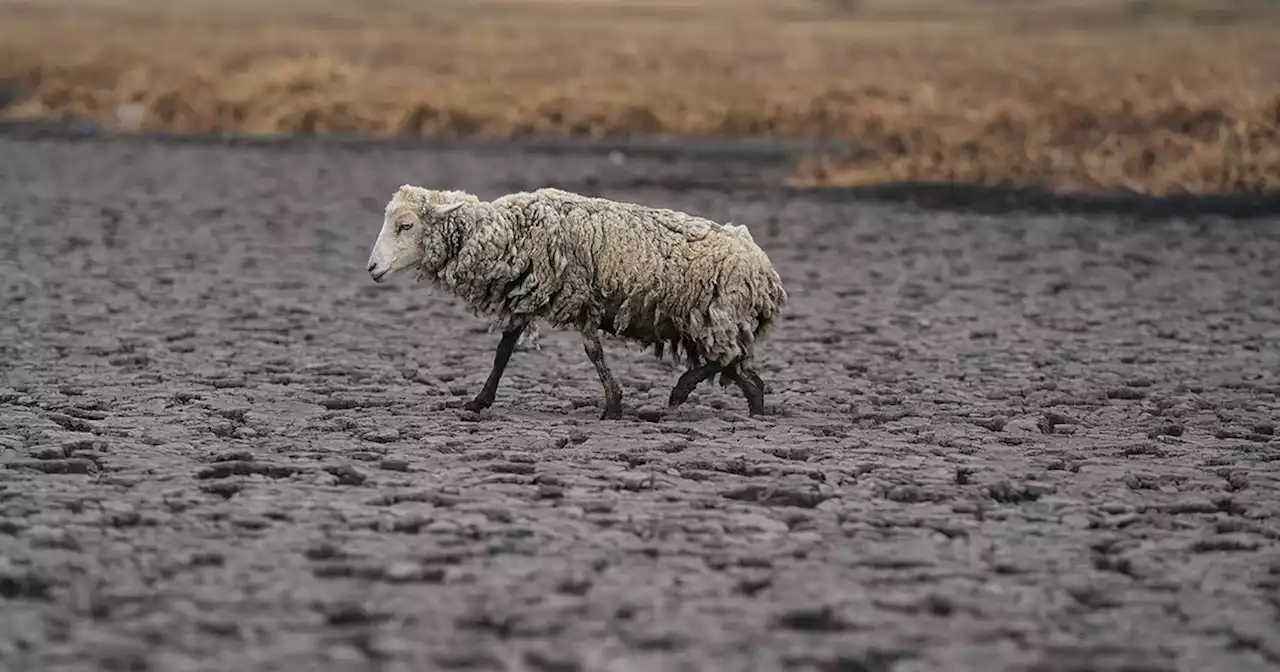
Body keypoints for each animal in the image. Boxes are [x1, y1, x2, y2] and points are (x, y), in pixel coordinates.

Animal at [368, 183, 788, 419]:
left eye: (405, 225)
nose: (372, 268)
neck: (510, 231)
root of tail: (765, 269)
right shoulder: (528, 295)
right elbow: (504, 351)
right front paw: (479, 401)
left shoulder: (580, 296)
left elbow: (593, 354)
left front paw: (613, 406)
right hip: (712, 323)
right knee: (745, 373)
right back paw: (755, 411)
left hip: (717, 315)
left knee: (728, 358)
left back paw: (681, 390)